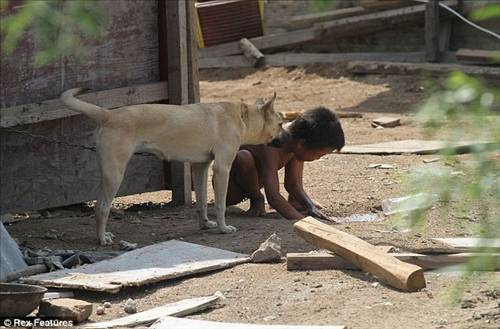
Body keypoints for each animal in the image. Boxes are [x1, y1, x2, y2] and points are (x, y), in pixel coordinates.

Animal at [60, 87, 284, 243]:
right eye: (281, 123)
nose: (287, 136)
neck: (242, 116)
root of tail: (109, 115)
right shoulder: (221, 169)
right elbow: (220, 205)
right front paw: (223, 228)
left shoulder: (200, 167)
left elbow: (202, 201)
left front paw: (205, 224)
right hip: (115, 174)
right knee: (102, 208)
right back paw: (101, 239)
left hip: (107, 174)